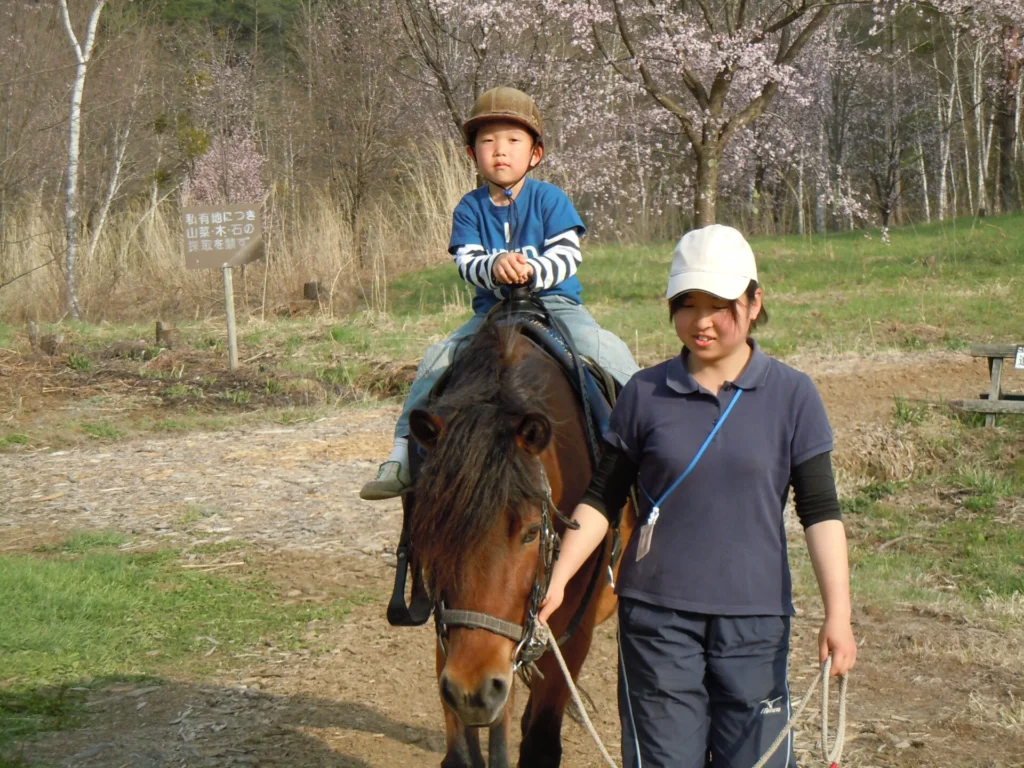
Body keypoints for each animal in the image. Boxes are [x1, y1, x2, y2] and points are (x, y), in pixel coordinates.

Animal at [404, 313, 634, 768]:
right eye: (431, 529)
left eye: (531, 532)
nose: (473, 691)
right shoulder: (452, 634)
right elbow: (463, 752)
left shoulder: (573, 635)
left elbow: (540, 741)